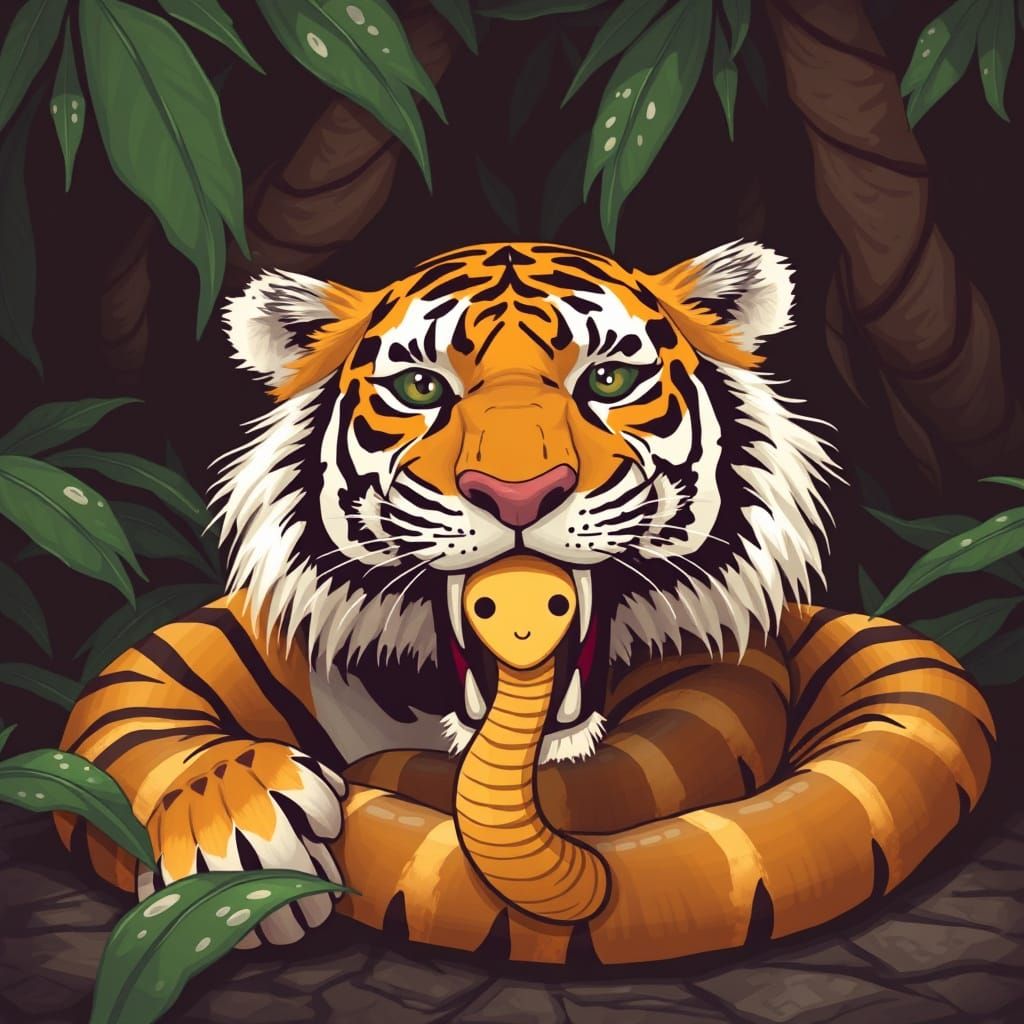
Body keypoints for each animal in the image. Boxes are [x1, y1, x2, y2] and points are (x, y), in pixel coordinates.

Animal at [56, 240, 995, 963]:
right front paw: (236, 845)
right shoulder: (195, 651)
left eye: (609, 380)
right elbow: (126, 727)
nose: (517, 496)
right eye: (422, 390)